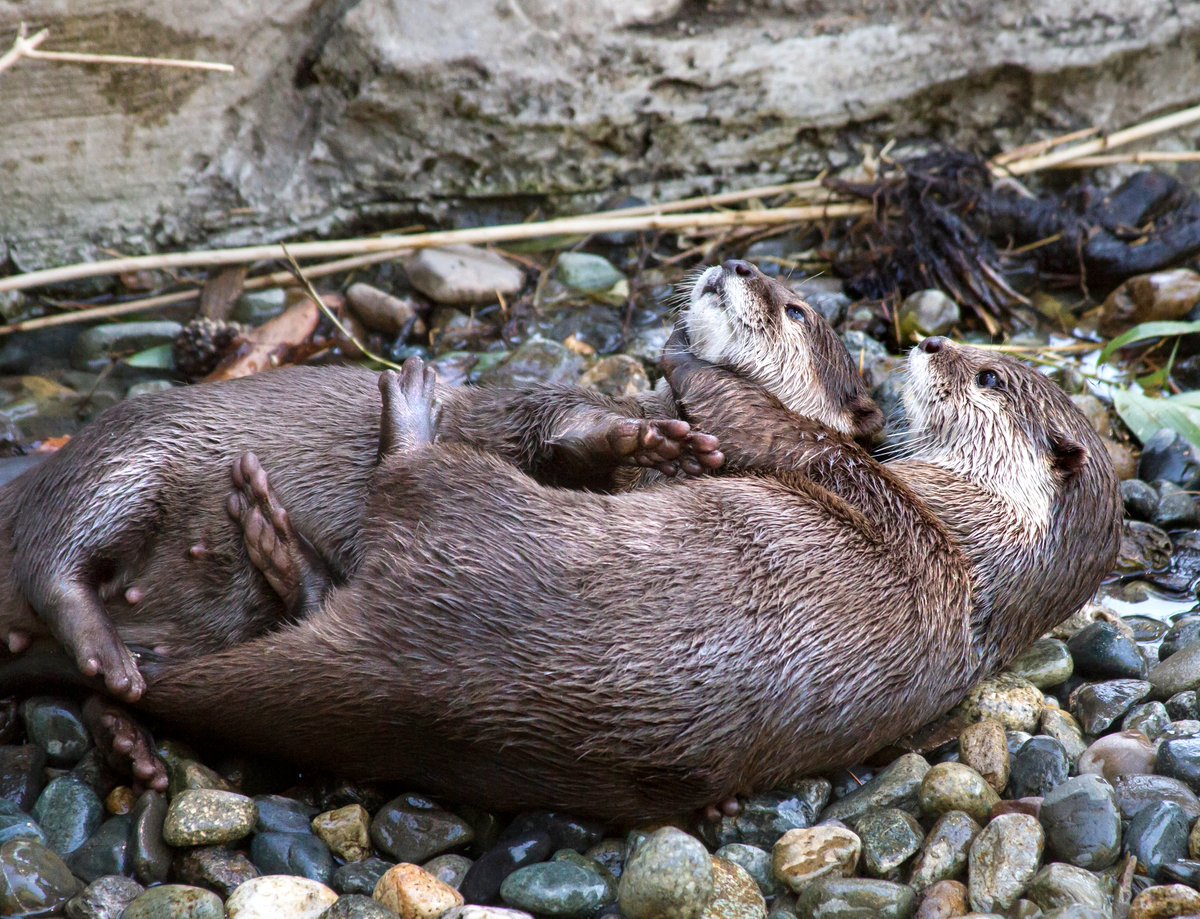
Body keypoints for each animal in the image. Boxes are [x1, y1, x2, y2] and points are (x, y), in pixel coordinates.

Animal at [0, 259, 883, 705]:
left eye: (797, 310)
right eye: (765, 278)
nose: (737, 259)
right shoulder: (527, 408)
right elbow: (554, 426)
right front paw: (637, 432)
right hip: (132, 453)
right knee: (54, 556)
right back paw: (108, 653)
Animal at [133, 335, 1123, 820]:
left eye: (985, 376)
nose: (929, 342)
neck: (972, 542)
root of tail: (412, 672)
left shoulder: (860, 481)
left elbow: (772, 429)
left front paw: (688, 359)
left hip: (466, 511)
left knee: (410, 478)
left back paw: (407, 414)